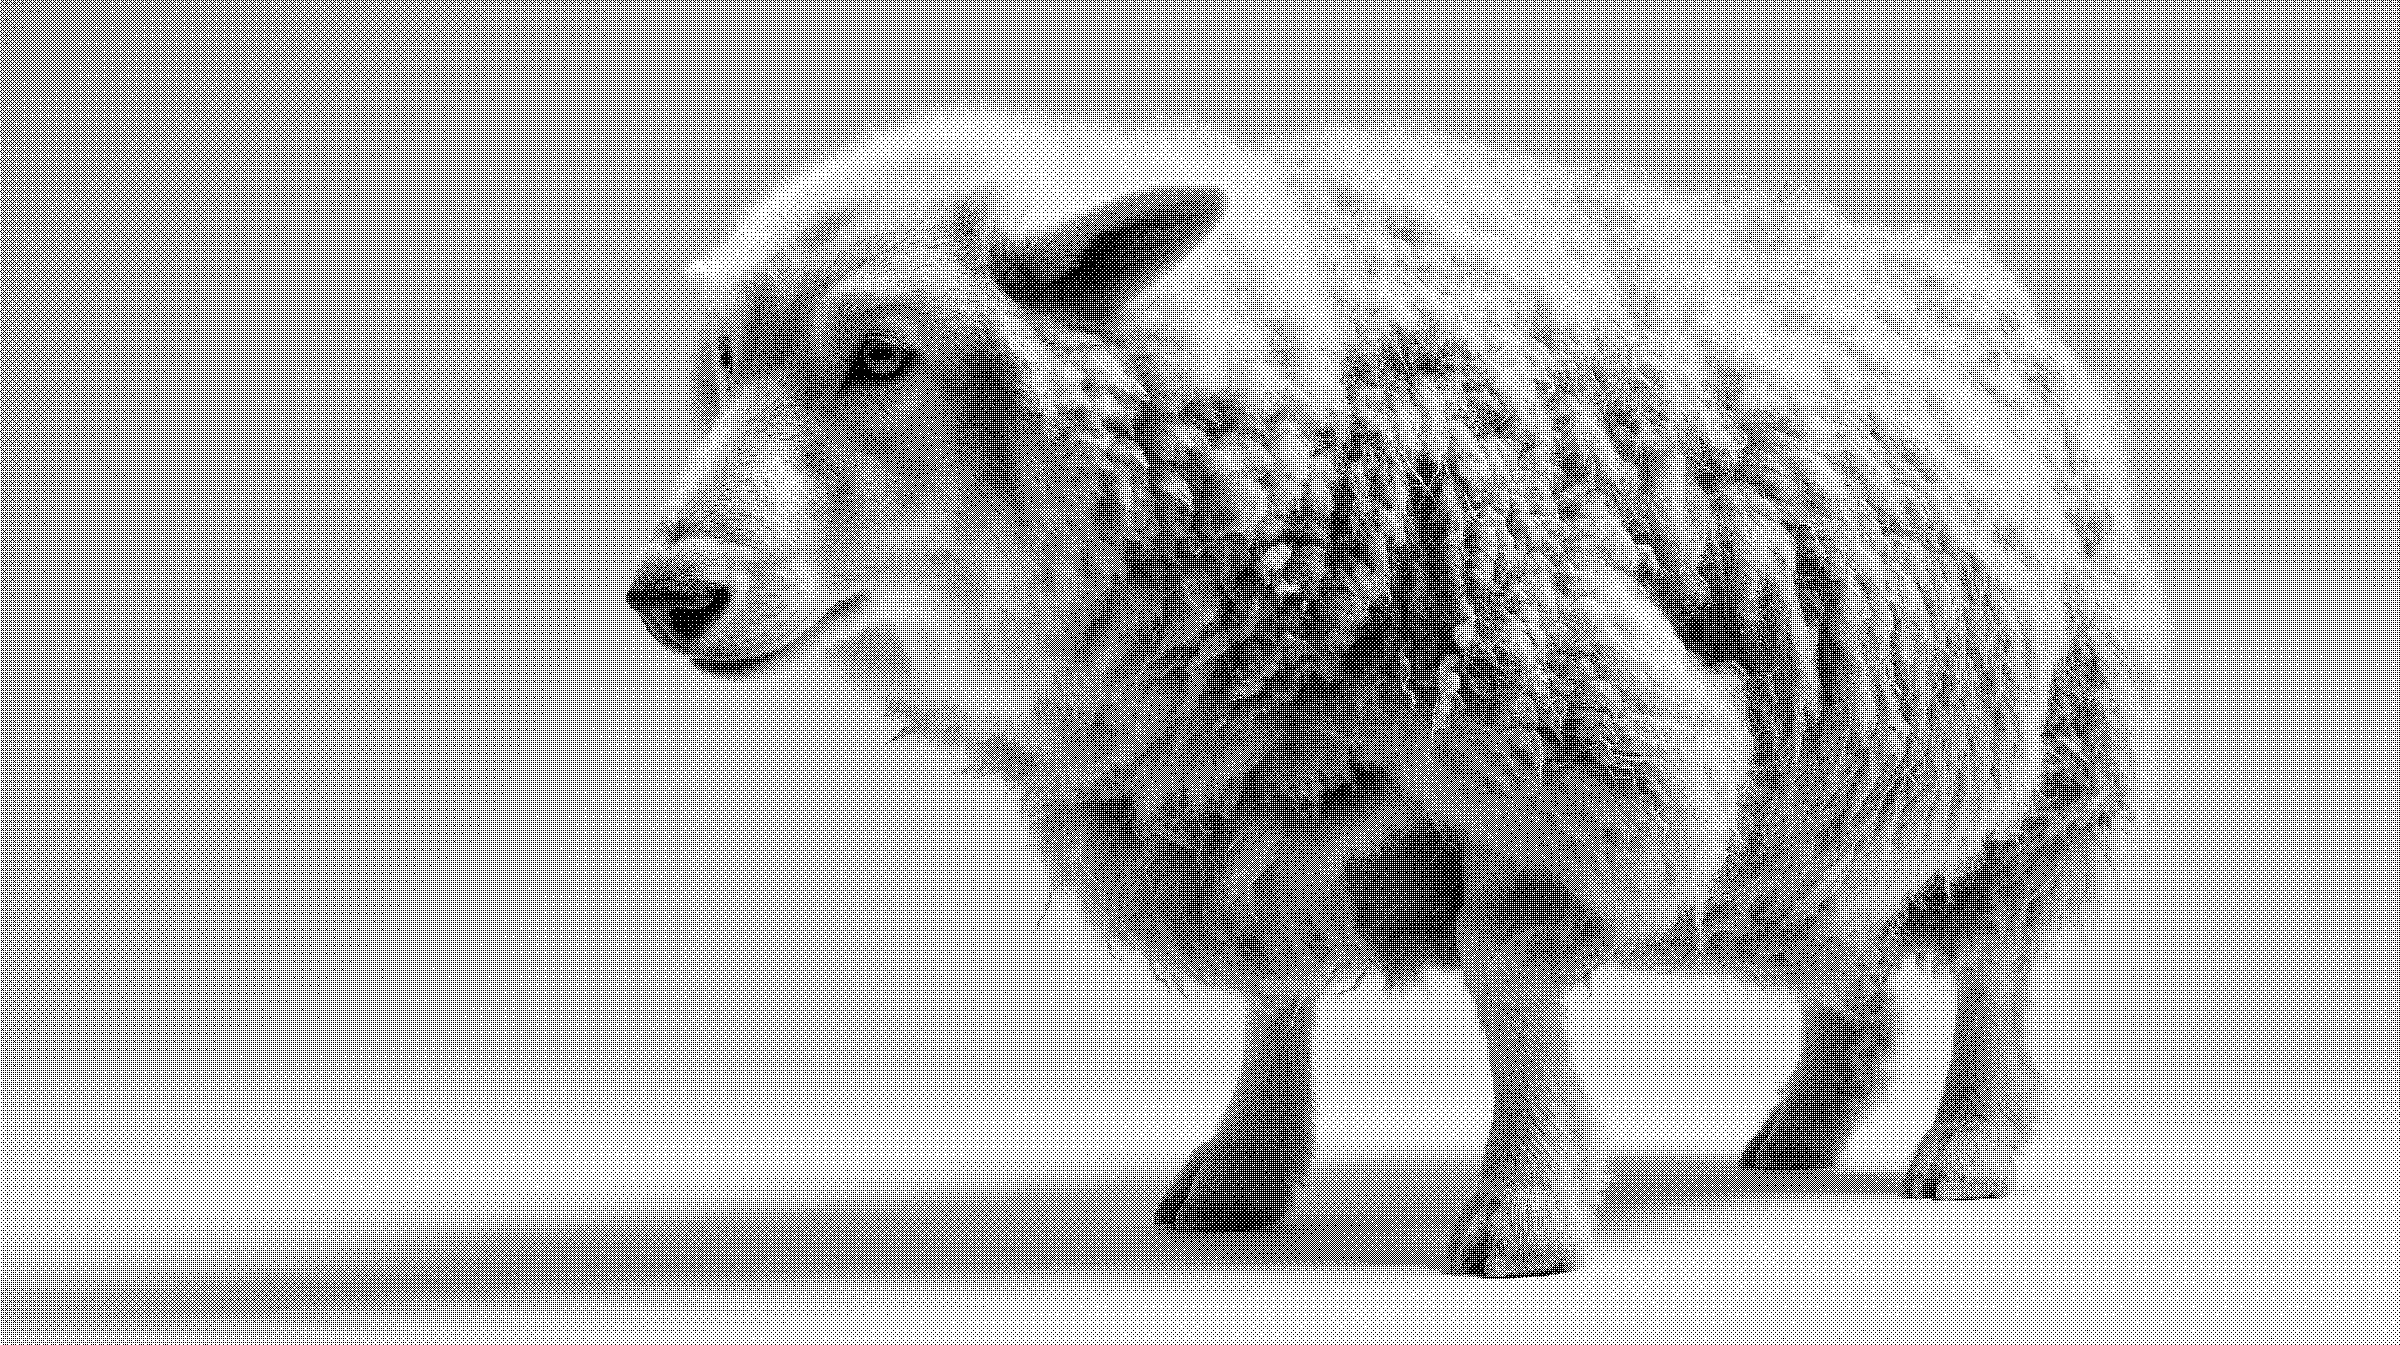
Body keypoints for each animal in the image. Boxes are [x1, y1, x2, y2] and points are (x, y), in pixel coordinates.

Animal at [626, 104, 2172, 1278]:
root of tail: (1963, 264)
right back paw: (1802, 1127)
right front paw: (1243, 1172)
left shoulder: (1560, 742)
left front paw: (1527, 1206)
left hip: (2056, 753)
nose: (668, 592)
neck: (1302, 394)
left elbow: (1506, 973)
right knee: (1846, 946)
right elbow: (1277, 988)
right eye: (727, 356)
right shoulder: (1246, 785)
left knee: (1994, 963)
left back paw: (1968, 1143)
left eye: (884, 353)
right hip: (1832, 779)